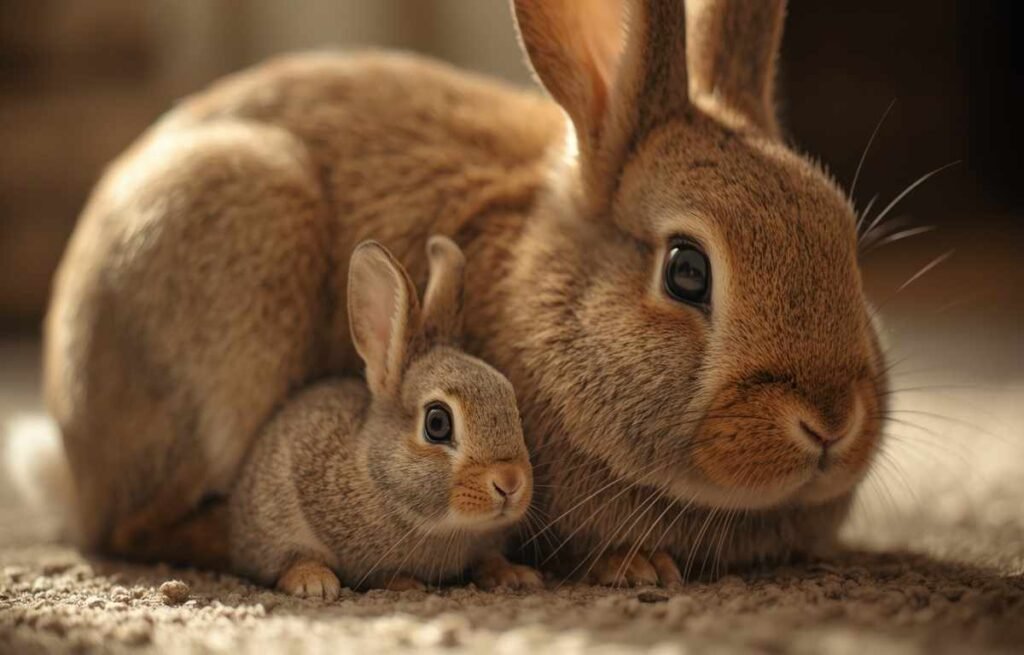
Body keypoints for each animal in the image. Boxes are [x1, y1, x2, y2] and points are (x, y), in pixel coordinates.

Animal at [229, 236, 540, 597]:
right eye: (437, 423)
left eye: (512, 404)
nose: (510, 483)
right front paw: (403, 583)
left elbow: (489, 558)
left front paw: (513, 575)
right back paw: (313, 581)